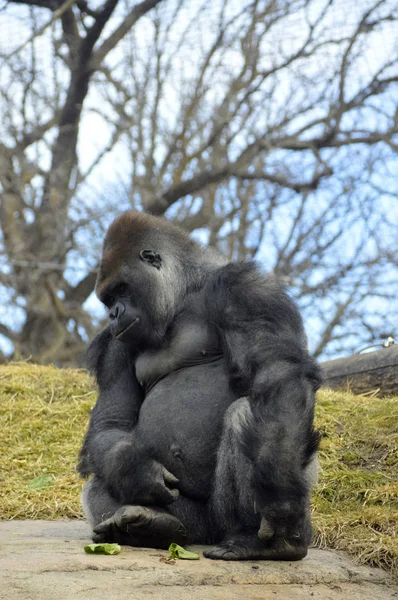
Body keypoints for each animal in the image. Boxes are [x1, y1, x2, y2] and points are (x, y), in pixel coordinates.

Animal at [77, 212, 320, 564]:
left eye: (122, 289)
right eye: (108, 299)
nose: (113, 313)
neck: (184, 292)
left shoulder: (246, 290)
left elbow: (278, 372)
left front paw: (279, 498)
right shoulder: (114, 344)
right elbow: (112, 423)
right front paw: (133, 469)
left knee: (246, 414)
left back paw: (261, 542)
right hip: (194, 522)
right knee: (99, 487)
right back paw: (155, 525)